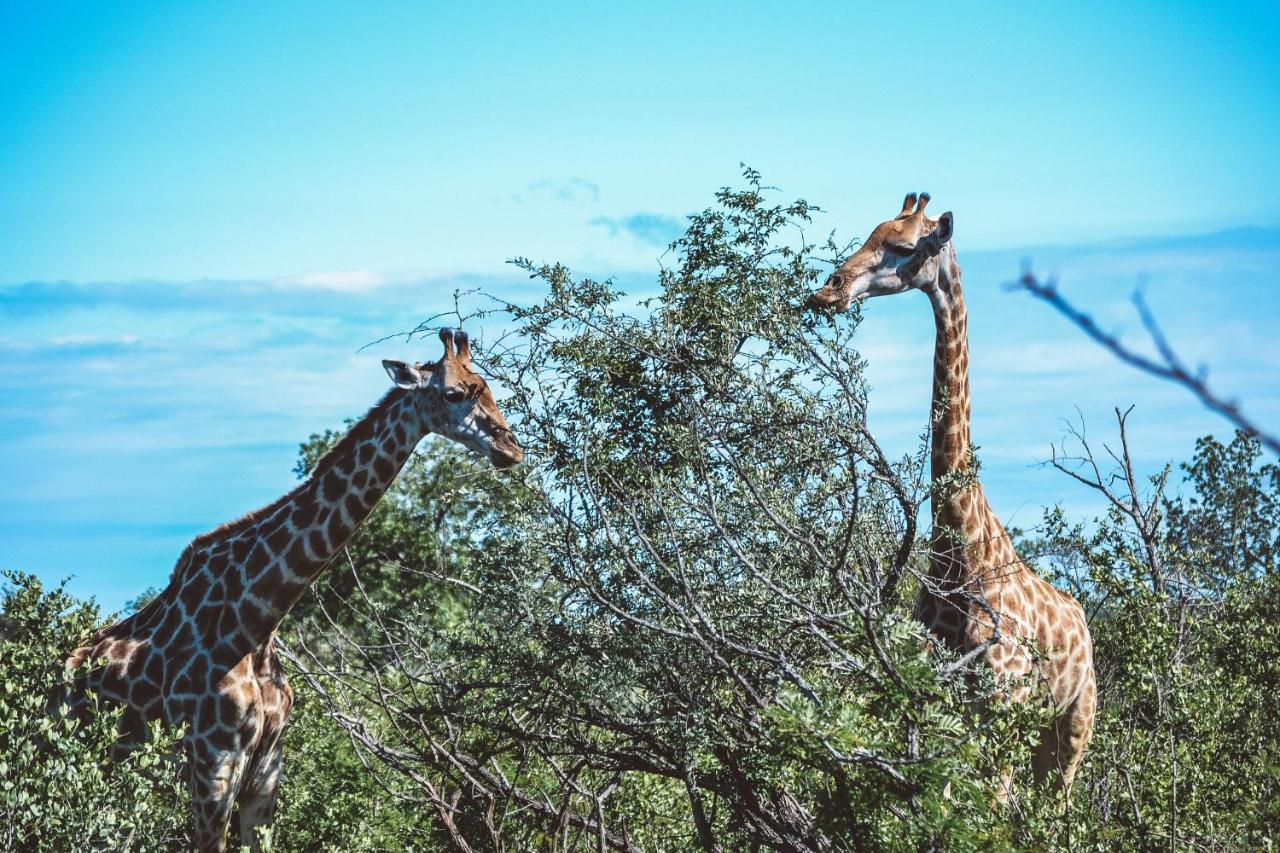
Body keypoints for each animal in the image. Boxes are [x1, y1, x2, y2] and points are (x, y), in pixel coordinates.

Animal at [60, 326, 519, 850]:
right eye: (453, 393)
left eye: (488, 387)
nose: (512, 449)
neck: (256, 620)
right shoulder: (212, 766)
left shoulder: (266, 773)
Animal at [808, 192, 1100, 788]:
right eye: (868, 233)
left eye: (902, 247)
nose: (828, 291)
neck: (959, 541)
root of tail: (1085, 626)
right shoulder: (931, 695)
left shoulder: (1000, 702)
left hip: (1073, 726)